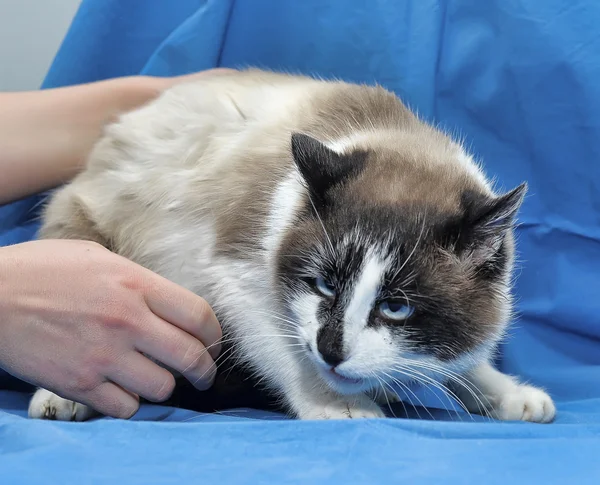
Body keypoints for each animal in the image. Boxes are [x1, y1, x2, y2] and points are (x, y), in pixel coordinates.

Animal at [27, 67, 552, 420]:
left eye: (396, 308)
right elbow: (291, 359)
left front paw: (509, 394)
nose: (331, 350)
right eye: (323, 285)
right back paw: (61, 398)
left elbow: (469, 359)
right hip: (84, 232)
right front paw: (339, 405)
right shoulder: (235, 277)